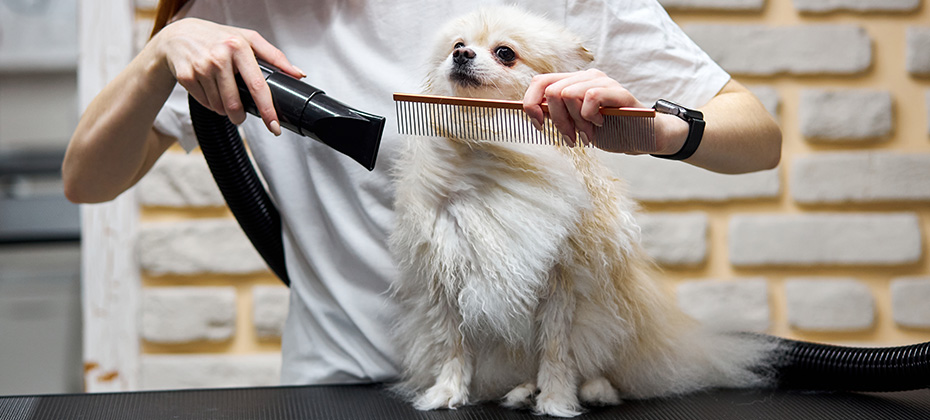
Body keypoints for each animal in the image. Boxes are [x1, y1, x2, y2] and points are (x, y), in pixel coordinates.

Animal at [388, 6, 780, 416]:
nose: (462, 55)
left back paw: (595, 390)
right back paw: (521, 390)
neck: (485, 144)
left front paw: (557, 399)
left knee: (603, 368)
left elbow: (556, 352)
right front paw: (446, 391)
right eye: (457, 45)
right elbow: (453, 346)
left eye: (505, 53)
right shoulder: (444, 281)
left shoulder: (561, 287)